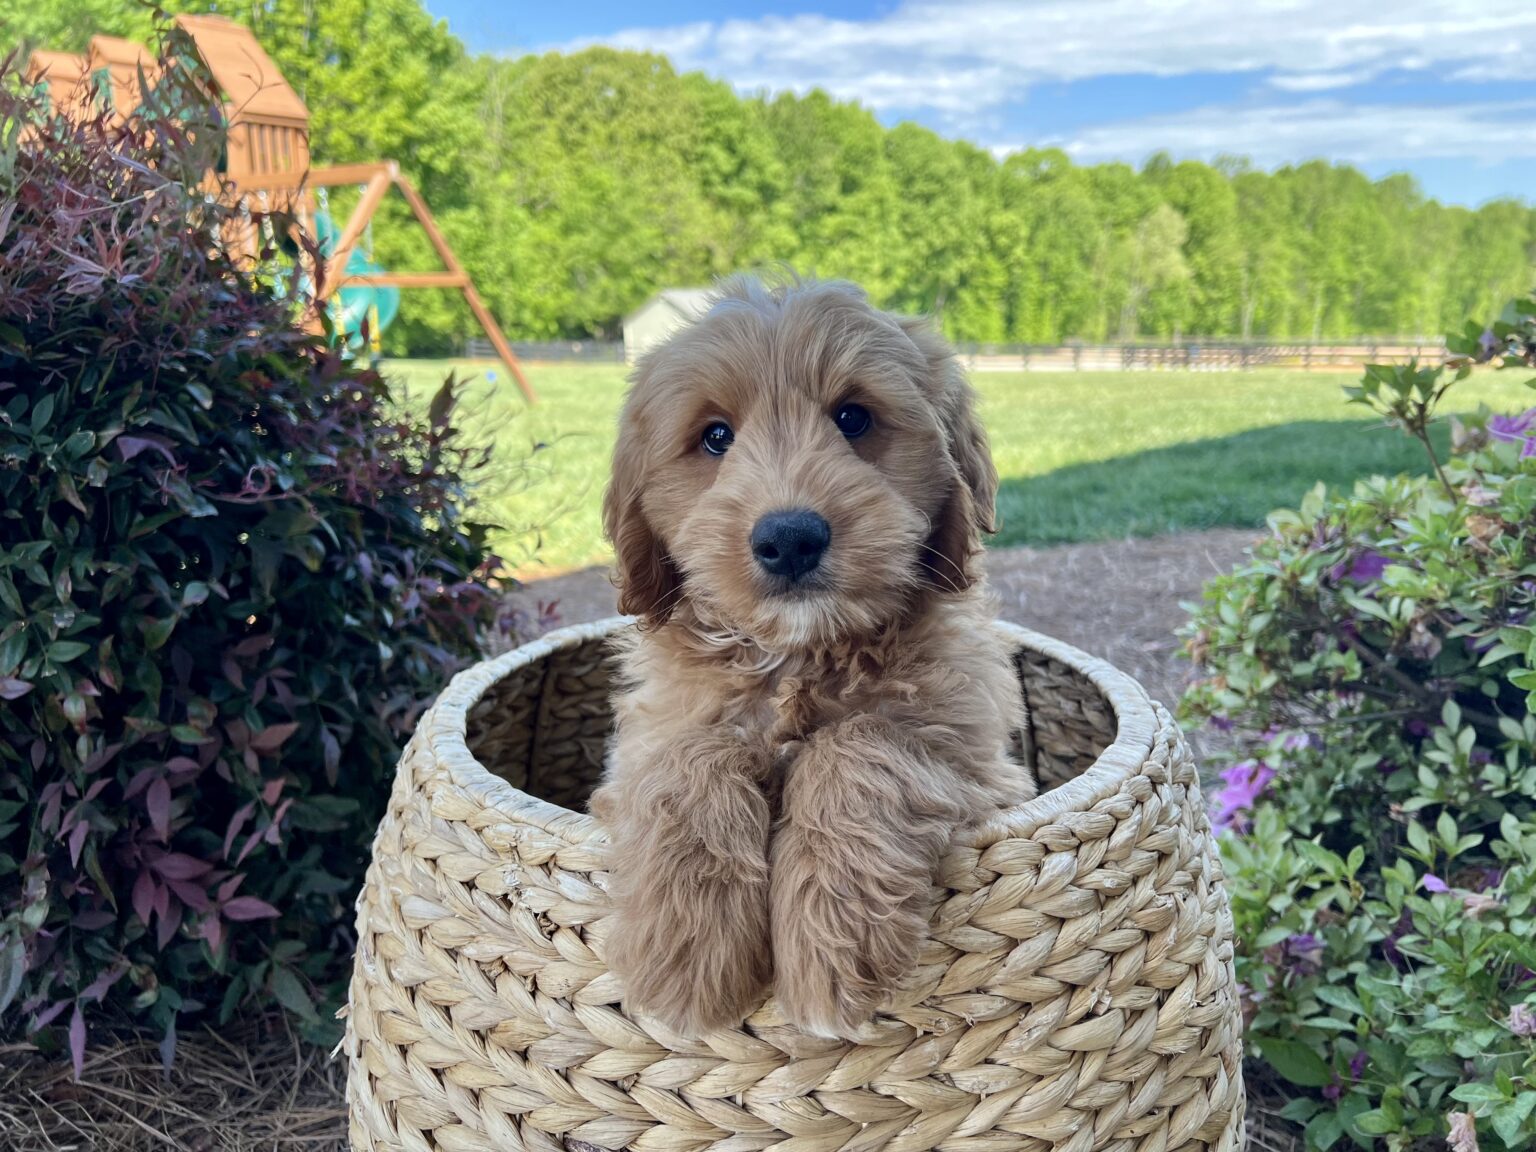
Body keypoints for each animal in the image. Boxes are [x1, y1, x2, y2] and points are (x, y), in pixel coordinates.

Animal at [589, 276, 1034, 1040]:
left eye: (853, 418)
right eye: (715, 436)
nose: (791, 537)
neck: (800, 654)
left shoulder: (984, 762)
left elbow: (864, 743)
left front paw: (834, 941)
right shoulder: (645, 741)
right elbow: (690, 756)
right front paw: (686, 948)